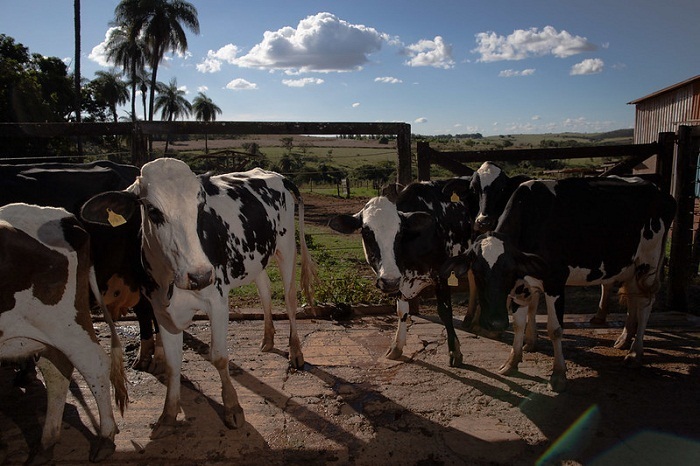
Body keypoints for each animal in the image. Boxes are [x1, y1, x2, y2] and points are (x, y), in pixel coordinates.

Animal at [0, 203, 127, 462]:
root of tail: (65, 217)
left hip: (62, 323)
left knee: (93, 364)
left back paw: (105, 438)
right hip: (43, 333)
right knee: (56, 371)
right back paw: (46, 445)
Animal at [80, 158, 318, 438]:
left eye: (201, 207)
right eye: (153, 211)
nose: (200, 275)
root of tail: (274, 174)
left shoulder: (217, 301)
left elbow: (219, 356)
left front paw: (233, 408)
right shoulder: (161, 310)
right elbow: (173, 365)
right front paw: (168, 415)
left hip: (286, 247)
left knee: (290, 299)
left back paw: (295, 351)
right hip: (256, 257)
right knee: (265, 289)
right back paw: (268, 339)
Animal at [330, 180, 474, 366]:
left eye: (400, 233)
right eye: (367, 232)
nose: (389, 280)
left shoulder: (441, 274)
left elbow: (445, 311)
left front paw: (454, 352)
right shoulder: (400, 281)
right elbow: (401, 310)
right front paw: (397, 346)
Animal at [442, 177, 680, 392]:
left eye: (509, 270)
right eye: (477, 272)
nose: (495, 323)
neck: (532, 221)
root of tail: (662, 192)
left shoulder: (554, 282)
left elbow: (555, 329)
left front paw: (558, 374)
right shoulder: (522, 286)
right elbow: (519, 324)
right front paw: (512, 362)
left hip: (648, 263)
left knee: (646, 303)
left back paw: (635, 352)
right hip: (630, 266)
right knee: (633, 297)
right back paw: (624, 339)